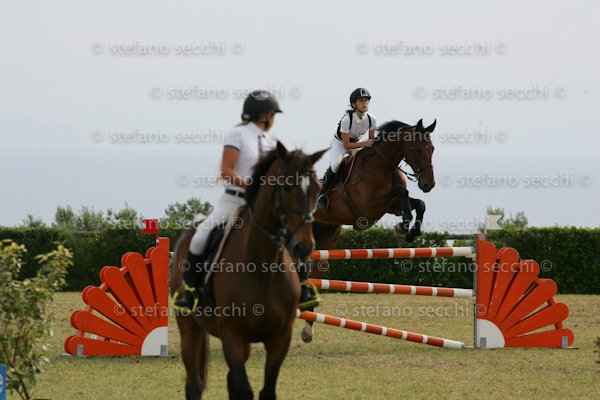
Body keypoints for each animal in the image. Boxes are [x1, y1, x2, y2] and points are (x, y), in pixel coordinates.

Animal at [170, 142, 327, 400]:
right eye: (286, 187)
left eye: (317, 188)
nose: (304, 247)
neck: (262, 266)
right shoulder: (231, 334)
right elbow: (244, 390)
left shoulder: (280, 337)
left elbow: (265, 391)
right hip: (189, 328)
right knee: (194, 384)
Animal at [301, 119, 437, 343]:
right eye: (417, 149)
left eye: (432, 149)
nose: (428, 184)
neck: (384, 166)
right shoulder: (370, 206)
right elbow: (402, 191)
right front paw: (404, 226)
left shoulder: (392, 206)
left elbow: (419, 203)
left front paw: (408, 233)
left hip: (326, 238)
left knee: (315, 274)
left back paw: (308, 328)